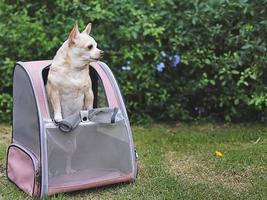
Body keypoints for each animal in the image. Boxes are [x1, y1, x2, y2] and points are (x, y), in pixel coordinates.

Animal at [46, 22, 103, 174]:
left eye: (97, 45)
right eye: (90, 47)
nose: (102, 52)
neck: (74, 69)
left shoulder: (89, 92)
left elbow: (89, 104)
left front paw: (89, 114)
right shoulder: (54, 92)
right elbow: (57, 106)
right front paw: (58, 117)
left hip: (72, 147)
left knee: (67, 157)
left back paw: (68, 170)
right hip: (51, 148)